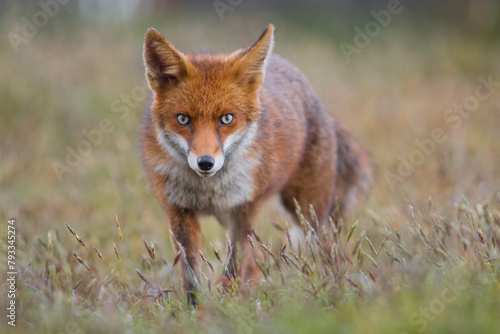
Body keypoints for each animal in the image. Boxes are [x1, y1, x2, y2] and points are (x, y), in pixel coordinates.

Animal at [140, 24, 372, 304]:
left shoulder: (244, 209)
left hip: (307, 209)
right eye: (183, 119)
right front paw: (197, 310)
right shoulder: (179, 214)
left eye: (227, 119)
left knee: (329, 249)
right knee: (258, 264)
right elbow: (192, 275)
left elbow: (233, 266)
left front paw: (226, 304)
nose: (205, 163)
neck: (208, 192)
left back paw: (336, 288)